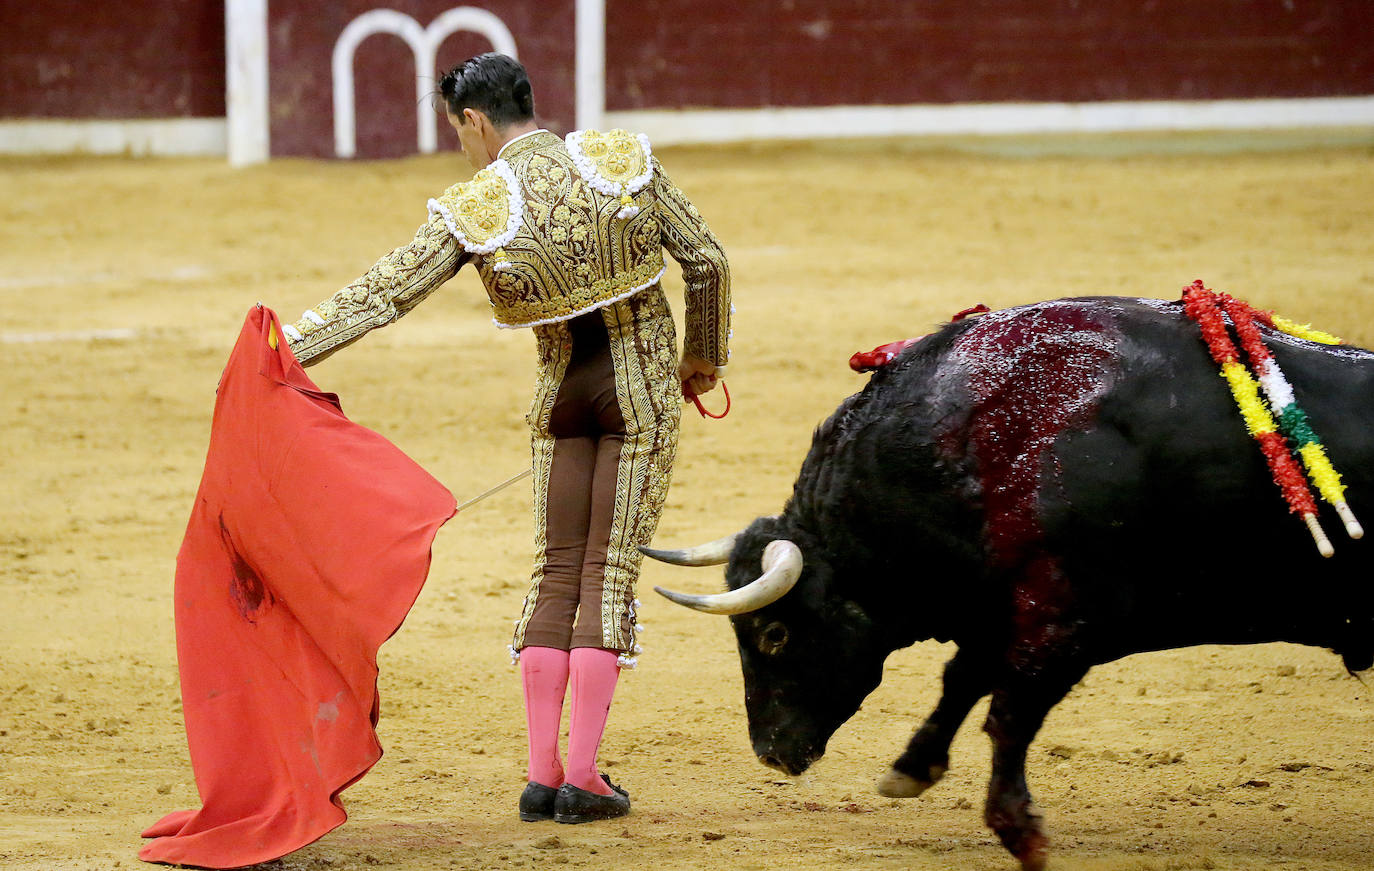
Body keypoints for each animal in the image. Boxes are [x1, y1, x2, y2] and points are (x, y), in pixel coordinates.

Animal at [643, 296, 1374, 868]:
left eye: (773, 632)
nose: (769, 753)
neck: (969, 445)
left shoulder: (1068, 619)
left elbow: (1009, 712)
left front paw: (1020, 831)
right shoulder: (1001, 612)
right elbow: (963, 680)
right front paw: (911, 770)